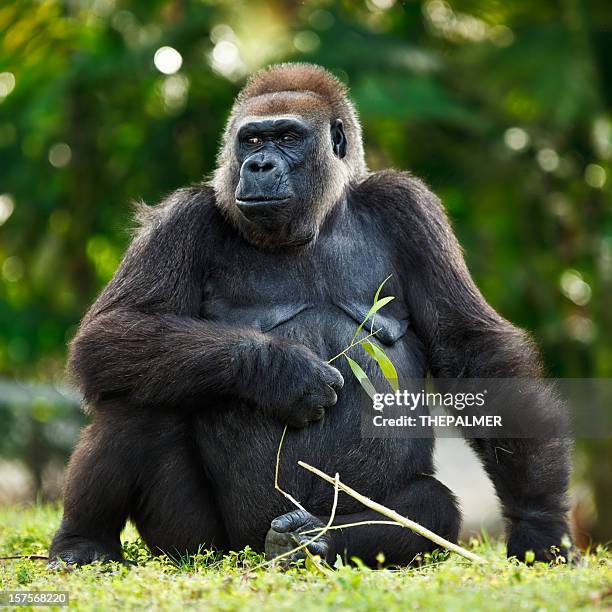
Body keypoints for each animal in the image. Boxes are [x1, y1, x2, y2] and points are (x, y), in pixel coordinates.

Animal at [50, 64, 572, 568]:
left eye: (286, 137)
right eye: (251, 140)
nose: (258, 165)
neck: (318, 217)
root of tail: (247, 550)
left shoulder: (409, 206)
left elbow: (471, 347)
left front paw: (540, 523)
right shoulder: (182, 216)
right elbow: (110, 331)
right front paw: (280, 369)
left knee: (432, 508)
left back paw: (310, 542)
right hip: (200, 546)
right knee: (135, 395)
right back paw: (83, 541)